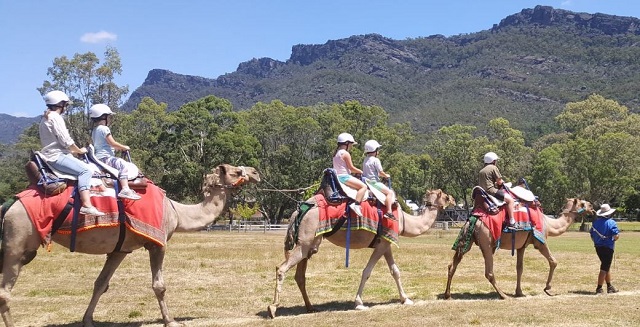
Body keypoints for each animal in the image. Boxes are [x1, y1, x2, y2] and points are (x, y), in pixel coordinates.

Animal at [0, 165, 260, 327]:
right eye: (237, 171)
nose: (256, 172)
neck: (175, 212)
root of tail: (9, 205)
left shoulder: (119, 250)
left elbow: (100, 284)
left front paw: (88, 320)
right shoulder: (157, 243)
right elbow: (159, 286)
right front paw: (171, 320)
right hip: (17, 241)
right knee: (5, 292)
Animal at [268, 188, 458, 320]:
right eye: (446, 196)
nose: (455, 201)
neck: (404, 221)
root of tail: (299, 211)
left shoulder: (385, 243)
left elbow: (395, 271)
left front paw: (406, 299)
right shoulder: (382, 244)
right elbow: (367, 271)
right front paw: (359, 303)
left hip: (309, 244)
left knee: (300, 275)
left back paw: (310, 307)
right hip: (306, 241)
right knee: (281, 268)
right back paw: (273, 309)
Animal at [444, 199, 596, 302]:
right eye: (582, 203)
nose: (593, 208)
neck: (549, 223)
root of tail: (473, 220)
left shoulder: (521, 246)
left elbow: (519, 268)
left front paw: (519, 292)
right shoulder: (540, 242)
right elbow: (553, 261)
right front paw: (548, 289)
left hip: (468, 241)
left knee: (452, 265)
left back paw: (448, 295)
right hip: (487, 243)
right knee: (489, 272)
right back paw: (503, 295)